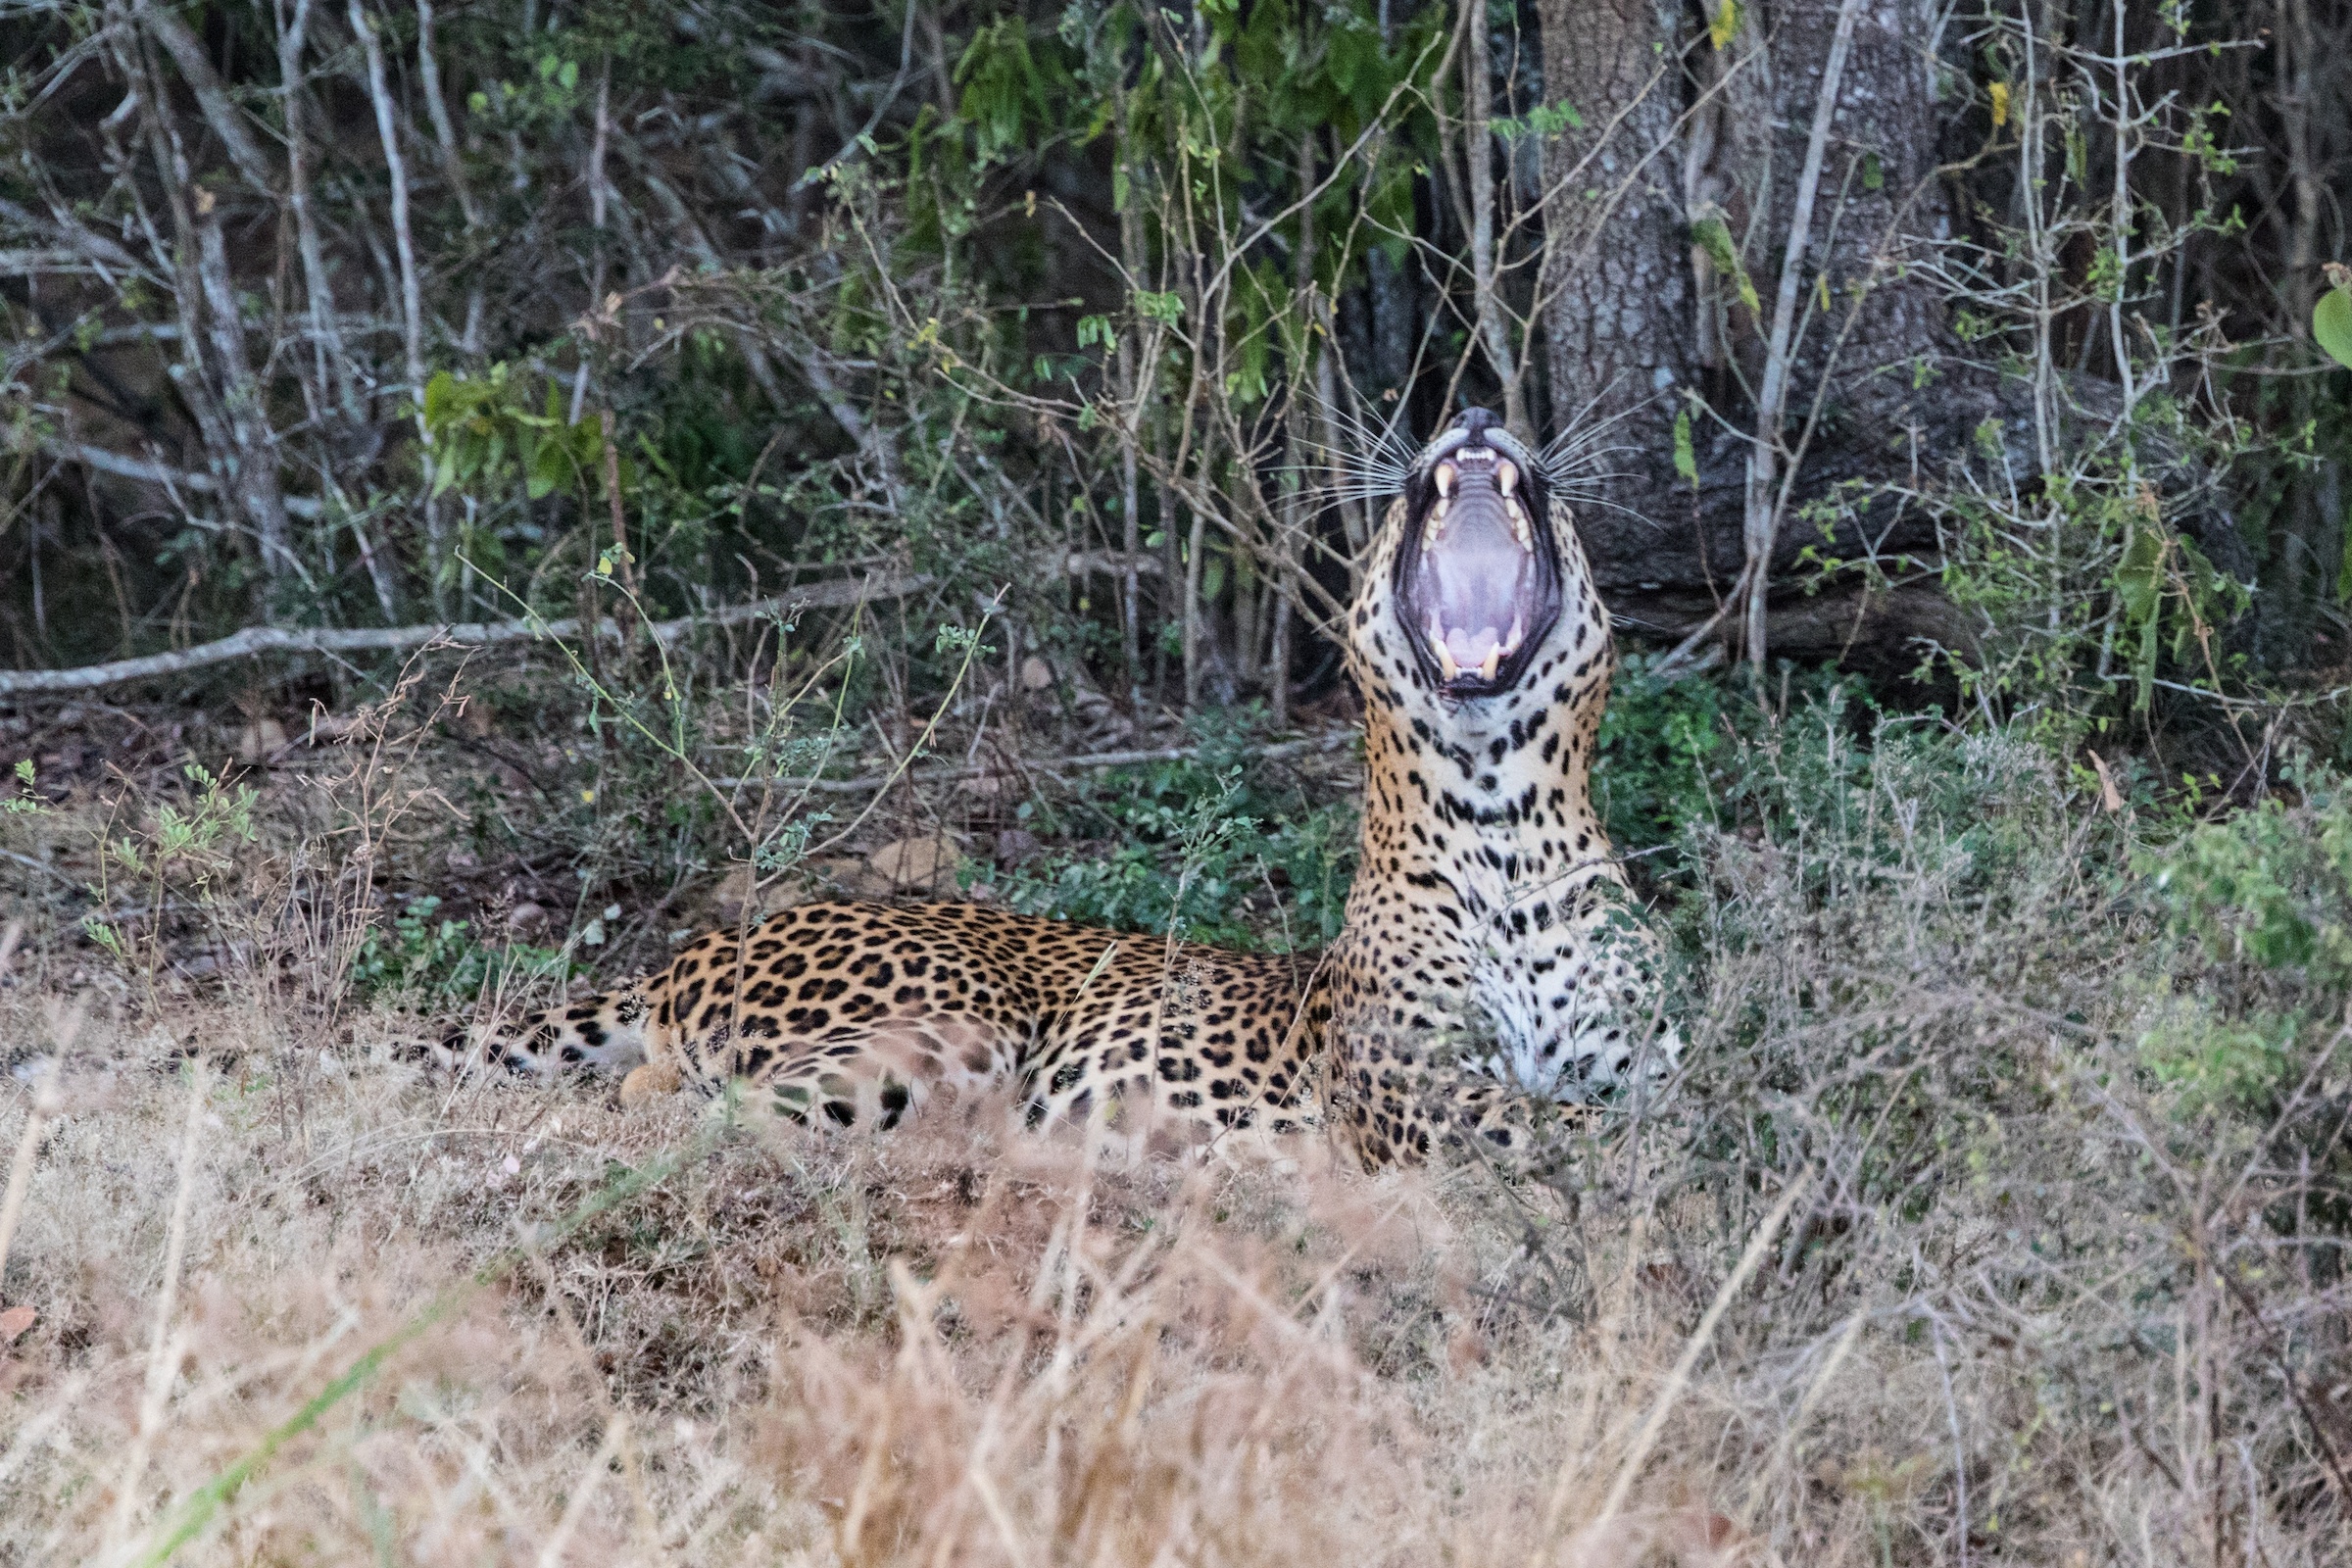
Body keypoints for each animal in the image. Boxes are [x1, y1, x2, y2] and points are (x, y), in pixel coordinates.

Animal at [458, 405, 1673, 1171]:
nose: (1475, 412)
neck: (1499, 814)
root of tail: (707, 944)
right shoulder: (1414, 1086)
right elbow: (1573, 1130)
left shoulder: (1641, 1061)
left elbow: (1656, 1112)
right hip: (940, 1034)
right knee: (687, 1106)